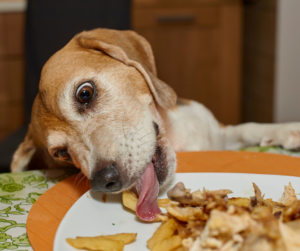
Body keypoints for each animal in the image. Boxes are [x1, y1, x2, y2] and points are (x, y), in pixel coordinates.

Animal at [9, 28, 300, 220]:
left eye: (85, 93)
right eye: (61, 153)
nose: (103, 181)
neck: (177, 136)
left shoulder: (218, 133)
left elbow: (249, 127)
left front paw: (287, 130)